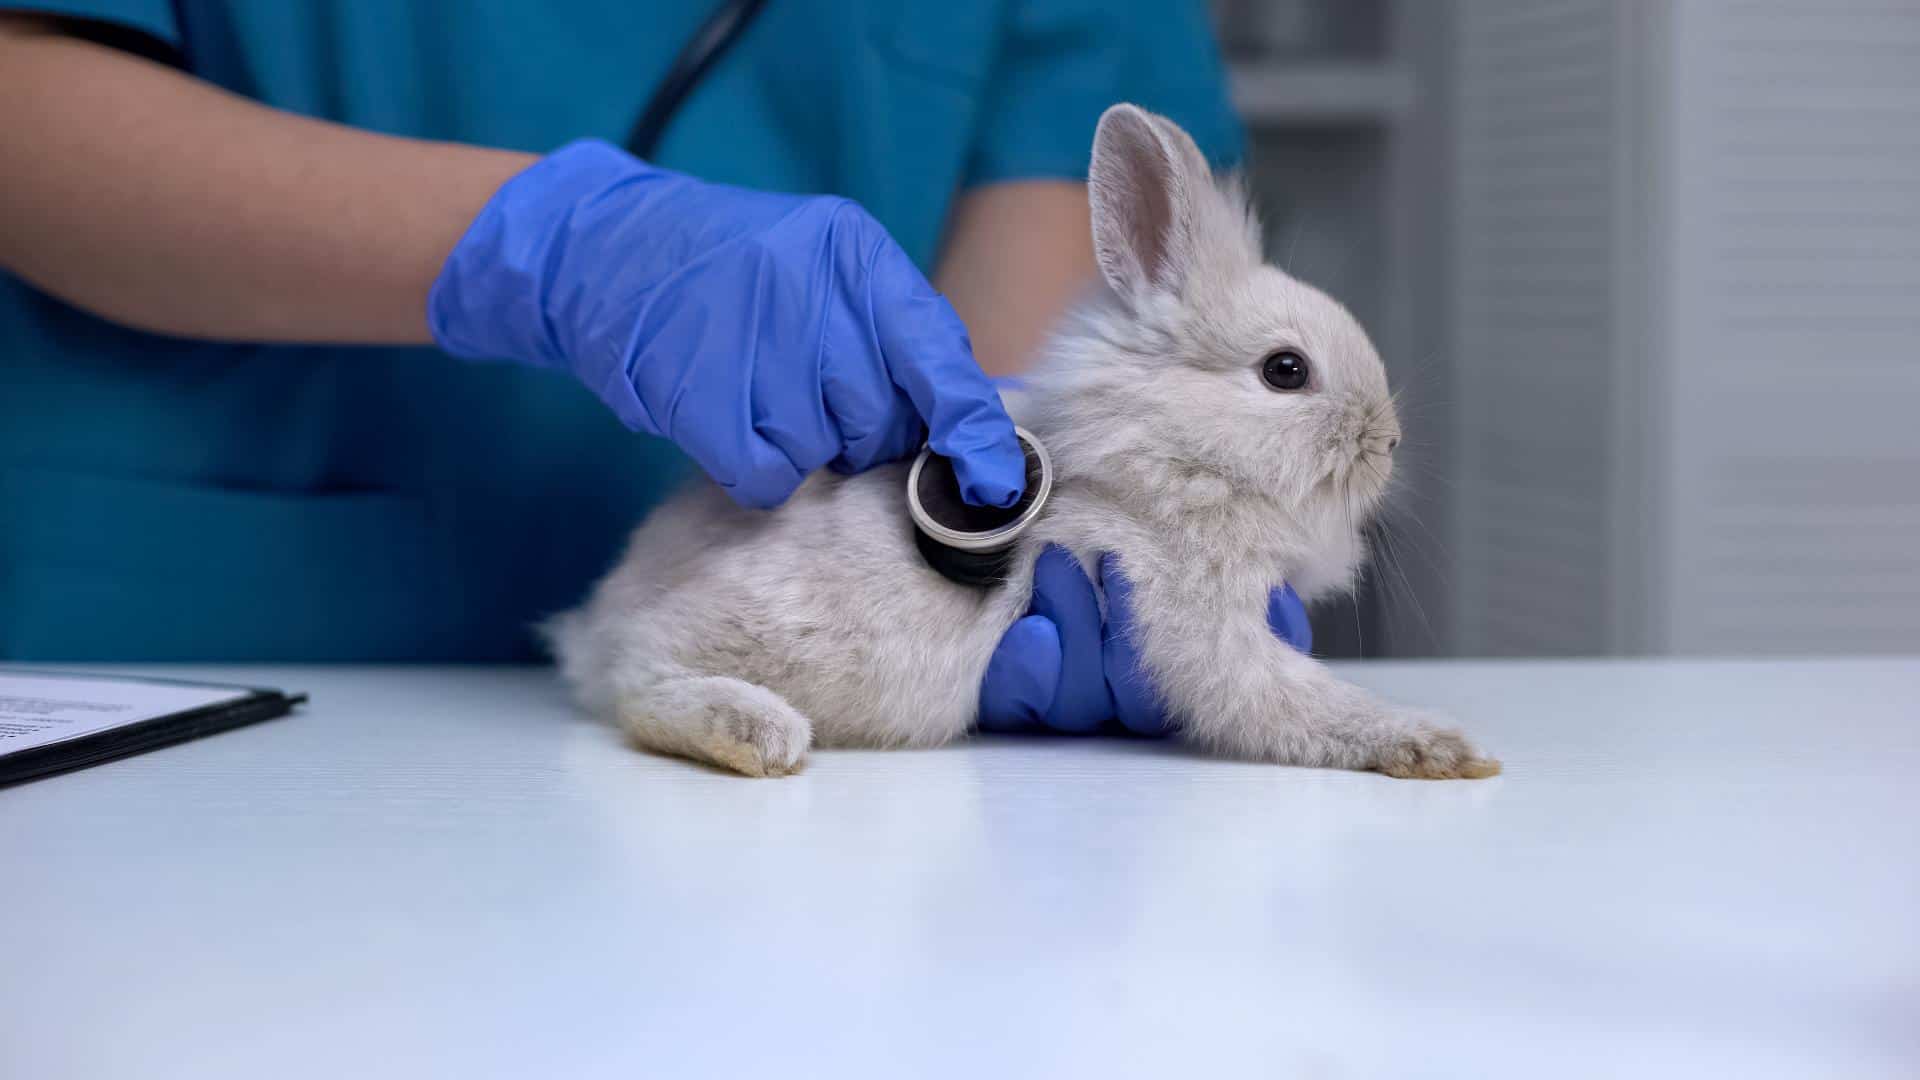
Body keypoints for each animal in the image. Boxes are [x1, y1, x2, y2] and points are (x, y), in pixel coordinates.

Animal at [547, 103, 1500, 781]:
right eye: (1286, 371)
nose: (1388, 441)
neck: (1173, 458)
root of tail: (598, 622)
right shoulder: (1196, 621)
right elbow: (1299, 701)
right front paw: (1440, 748)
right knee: (642, 689)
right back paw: (757, 735)